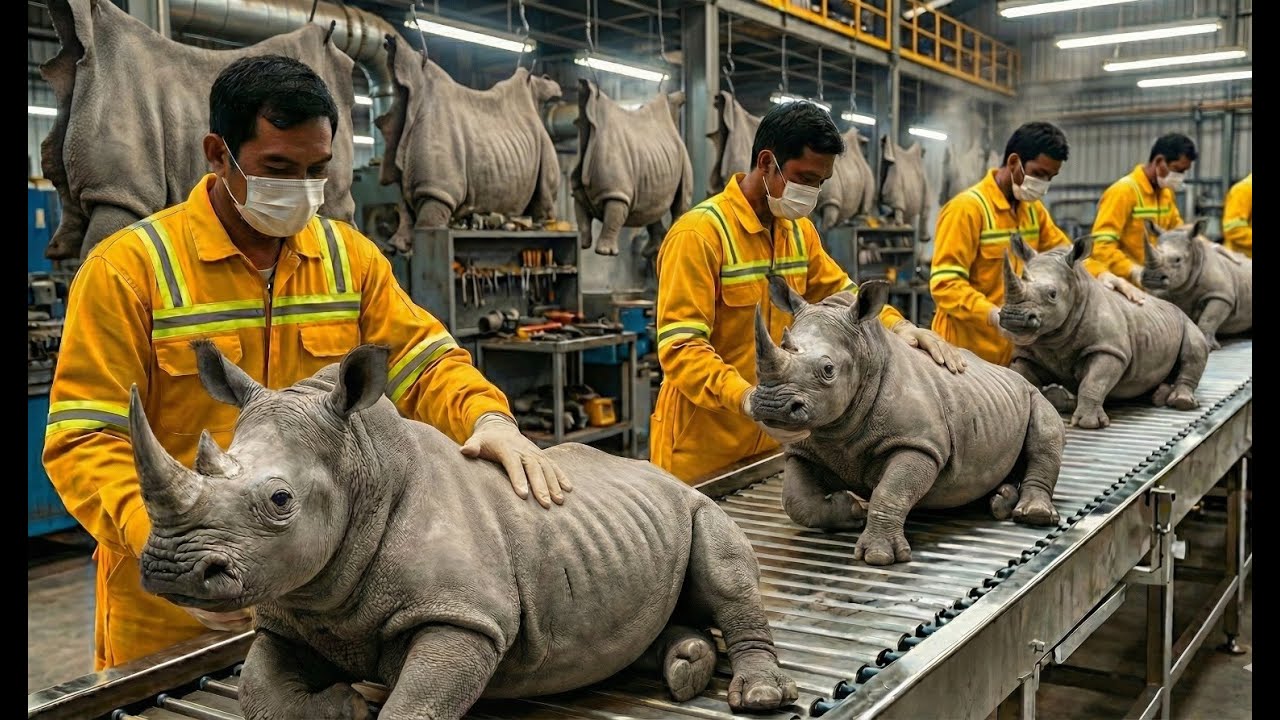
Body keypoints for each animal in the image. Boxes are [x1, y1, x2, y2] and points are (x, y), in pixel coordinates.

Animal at [129, 341, 797, 719]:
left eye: (279, 500)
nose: (170, 569)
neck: (362, 469)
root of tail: (662, 474)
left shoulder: (465, 616)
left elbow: (416, 707)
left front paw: (365, 702)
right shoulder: (291, 609)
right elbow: (259, 694)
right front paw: (347, 702)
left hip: (695, 505)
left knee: (726, 570)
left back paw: (756, 697)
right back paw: (685, 665)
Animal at [572, 79, 694, 256]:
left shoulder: (617, 192)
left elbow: (612, 219)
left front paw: (605, 252)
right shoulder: (578, 191)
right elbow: (582, 219)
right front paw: (583, 245)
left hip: (683, 157)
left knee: (679, 203)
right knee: (653, 204)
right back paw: (652, 251)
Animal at [748, 277, 1063, 567]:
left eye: (828, 369)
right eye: (779, 347)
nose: (772, 405)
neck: (865, 354)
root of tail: (1014, 376)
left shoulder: (919, 444)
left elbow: (892, 492)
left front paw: (878, 556)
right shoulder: (807, 449)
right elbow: (795, 500)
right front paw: (850, 511)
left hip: (1031, 394)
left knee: (1046, 435)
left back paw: (1032, 514)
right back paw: (1000, 501)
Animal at [999, 234, 1209, 430]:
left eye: (1053, 294)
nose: (1014, 316)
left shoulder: (1110, 349)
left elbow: (1094, 381)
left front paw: (1088, 423)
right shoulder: (1029, 352)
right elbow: (1021, 376)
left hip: (1185, 321)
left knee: (1194, 347)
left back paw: (1181, 402)